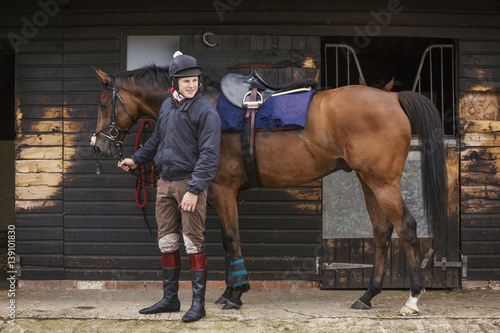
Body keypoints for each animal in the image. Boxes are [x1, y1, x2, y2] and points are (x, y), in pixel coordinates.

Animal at [92, 63, 448, 316]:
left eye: (103, 103)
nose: (100, 146)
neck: (202, 107)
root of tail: (392, 97)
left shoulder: (222, 189)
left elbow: (231, 239)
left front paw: (236, 294)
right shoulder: (225, 194)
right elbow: (228, 241)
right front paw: (229, 291)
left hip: (382, 182)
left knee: (407, 227)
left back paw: (412, 299)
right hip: (368, 181)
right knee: (382, 232)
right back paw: (368, 294)